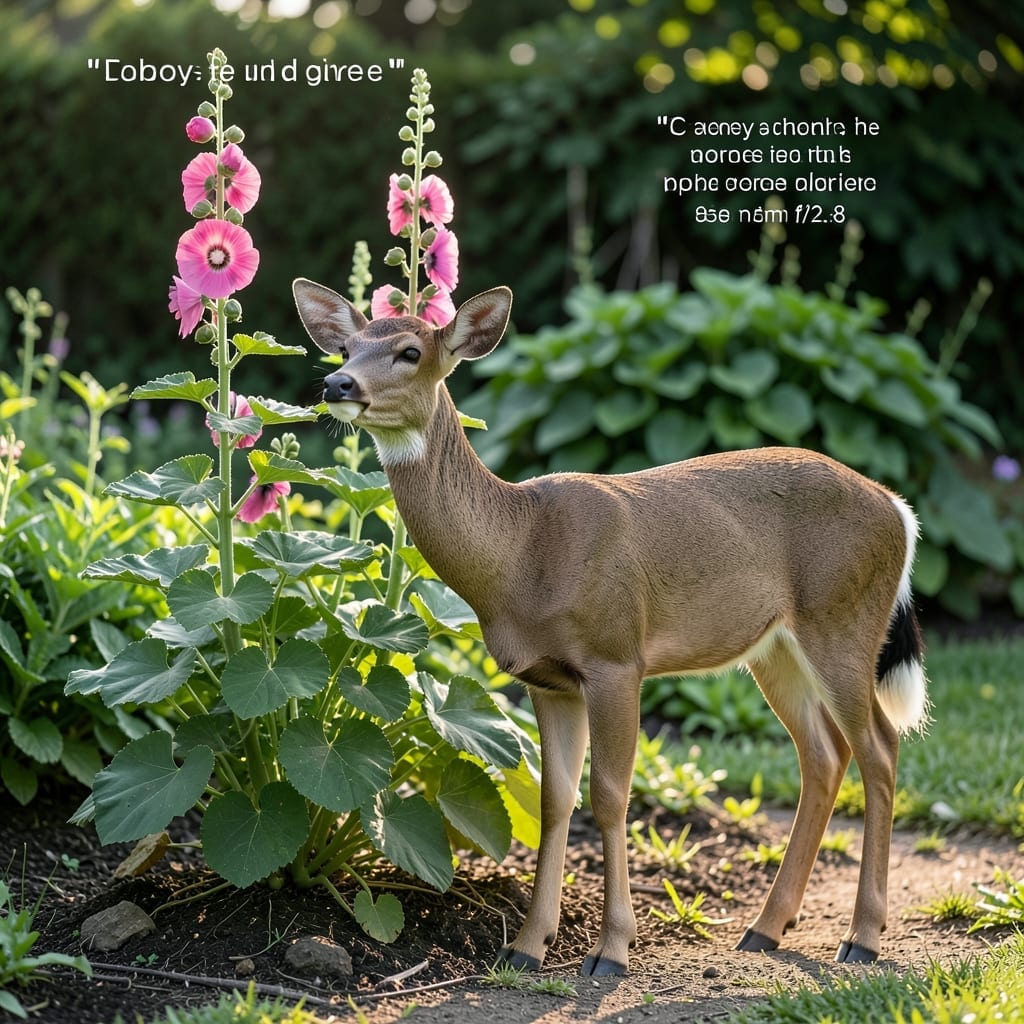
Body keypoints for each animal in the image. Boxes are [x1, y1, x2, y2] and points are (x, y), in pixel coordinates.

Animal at [292, 278, 929, 977]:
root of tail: (899, 510)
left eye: (410, 351)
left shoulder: (617, 658)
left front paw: (612, 951)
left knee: (880, 747)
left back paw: (862, 938)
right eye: (347, 346)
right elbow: (555, 799)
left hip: (843, 621)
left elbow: (610, 795)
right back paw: (765, 929)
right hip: (774, 646)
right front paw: (526, 946)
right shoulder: (546, 680)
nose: (337, 383)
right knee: (824, 753)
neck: (522, 552)